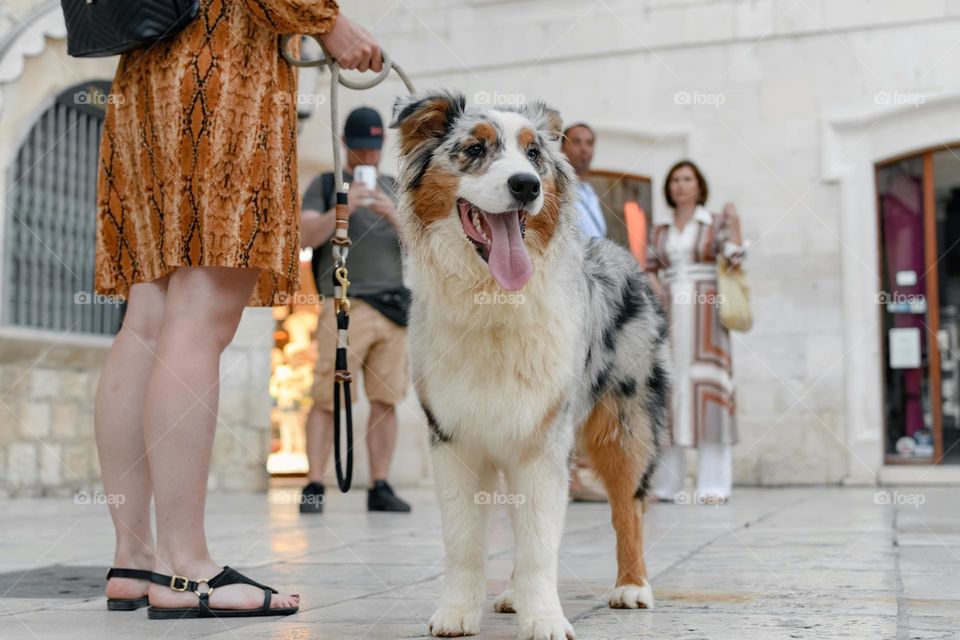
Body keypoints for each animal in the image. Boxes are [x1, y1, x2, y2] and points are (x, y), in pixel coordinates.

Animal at [386, 91, 672, 640]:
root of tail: (614, 249)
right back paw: (512, 595)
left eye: (534, 154)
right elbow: (464, 541)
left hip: (625, 418)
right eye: (475, 148)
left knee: (629, 503)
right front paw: (457, 613)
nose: (526, 185)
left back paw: (632, 586)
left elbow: (541, 543)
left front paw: (544, 619)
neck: (493, 297)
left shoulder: (543, 437)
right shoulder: (453, 437)